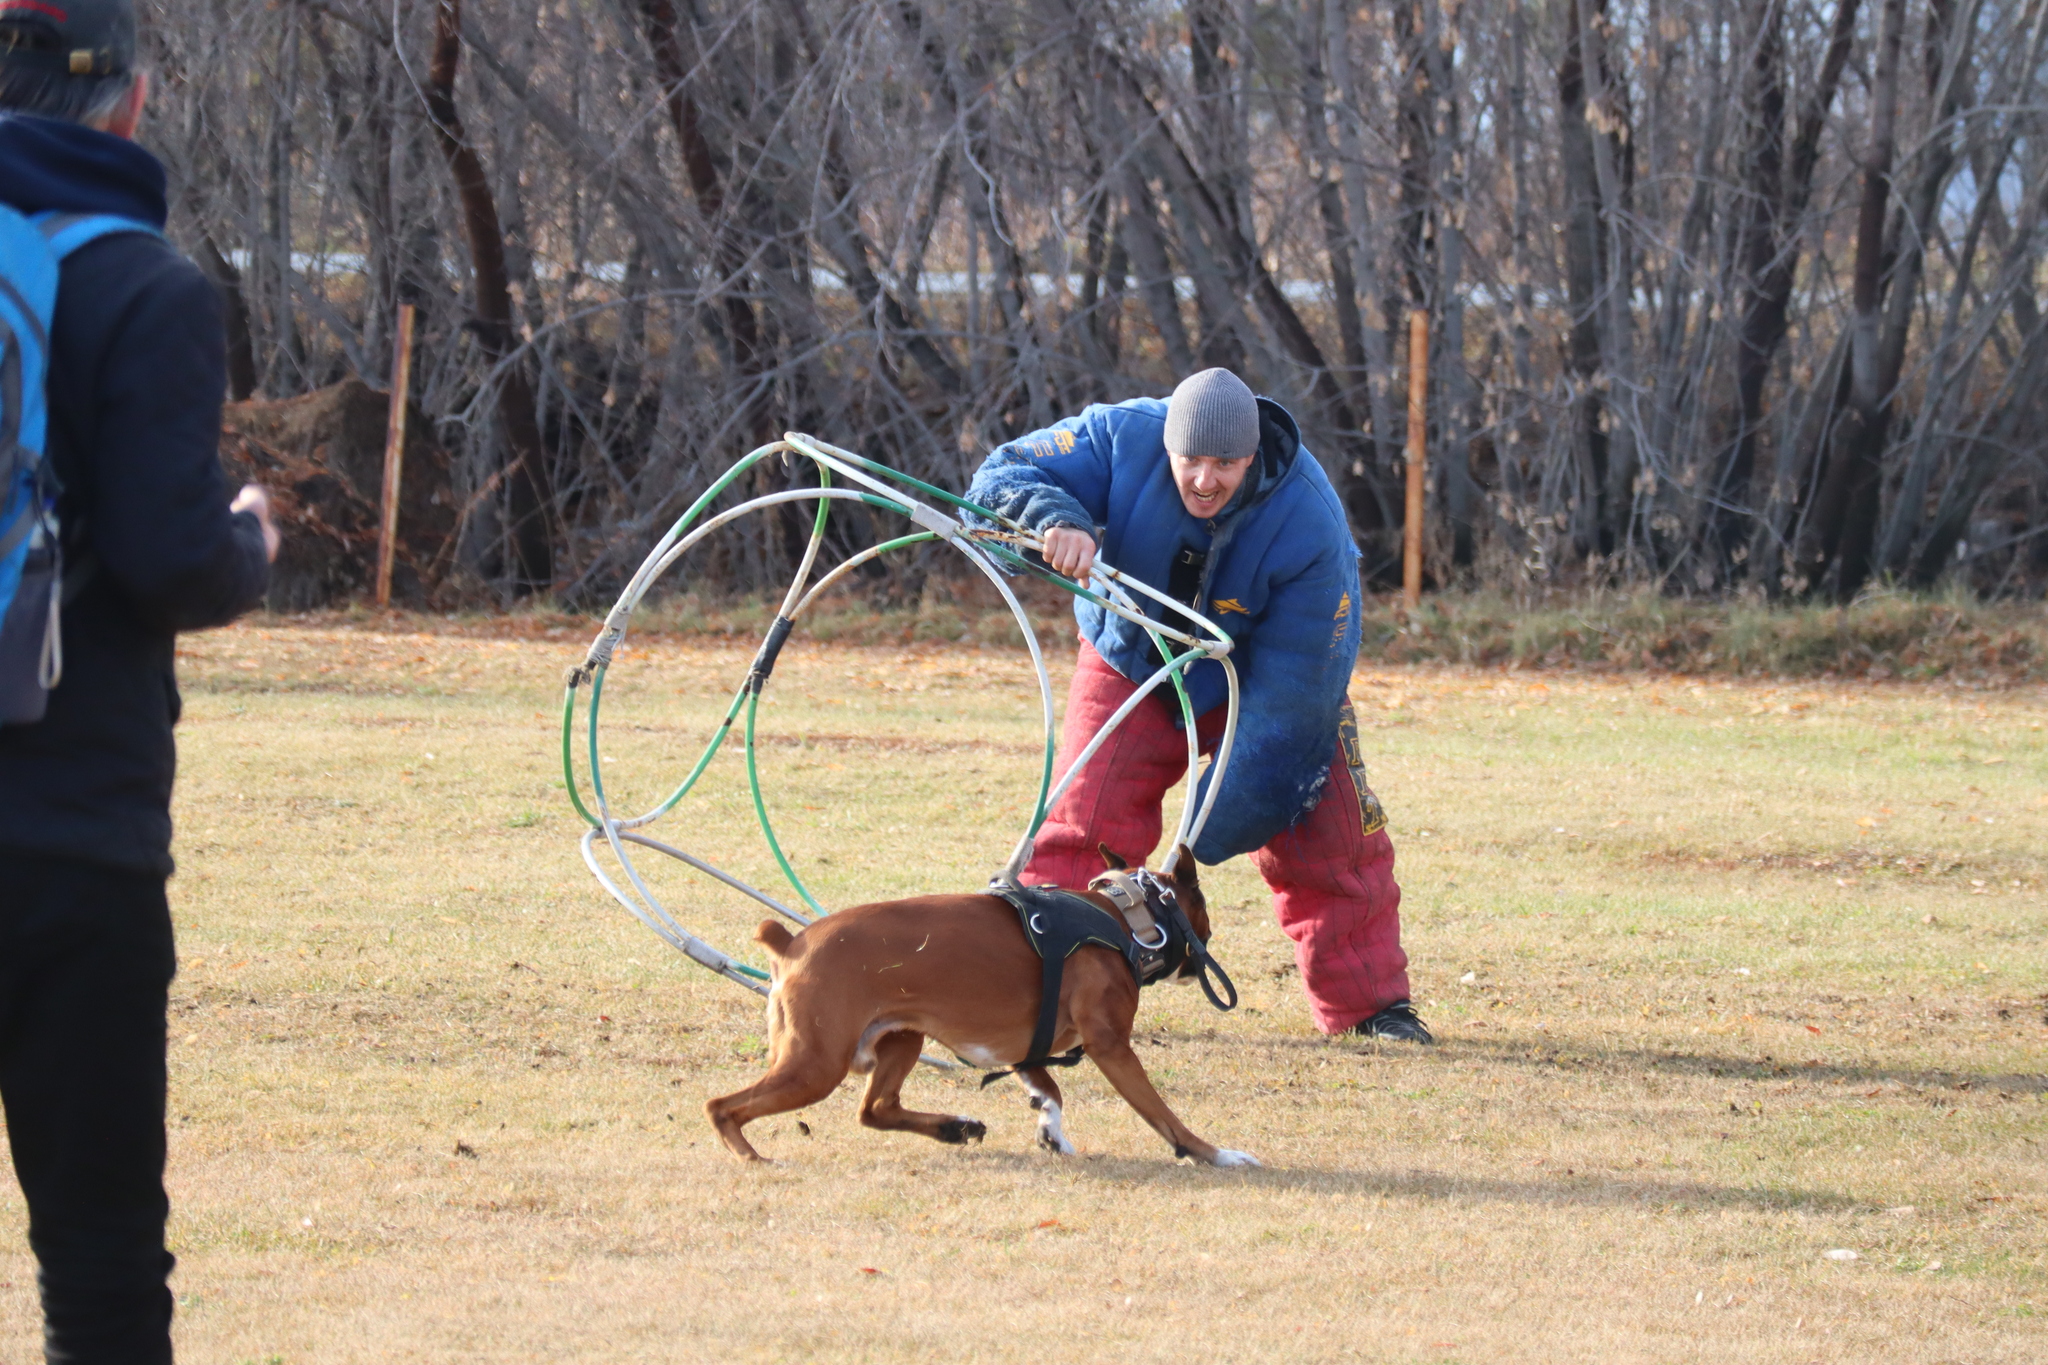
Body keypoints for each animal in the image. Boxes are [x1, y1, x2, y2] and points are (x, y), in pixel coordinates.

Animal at [708, 847, 1261, 1170]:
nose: (1209, 939)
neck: (1123, 921)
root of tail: (790, 942)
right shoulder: (1112, 1048)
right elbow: (1165, 1117)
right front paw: (1215, 1154)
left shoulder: (1026, 1052)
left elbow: (1050, 1091)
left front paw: (1051, 1132)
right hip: (816, 1064)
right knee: (722, 1106)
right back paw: (752, 1158)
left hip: (901, 1039)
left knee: (876, 1109)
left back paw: (954, 1128)